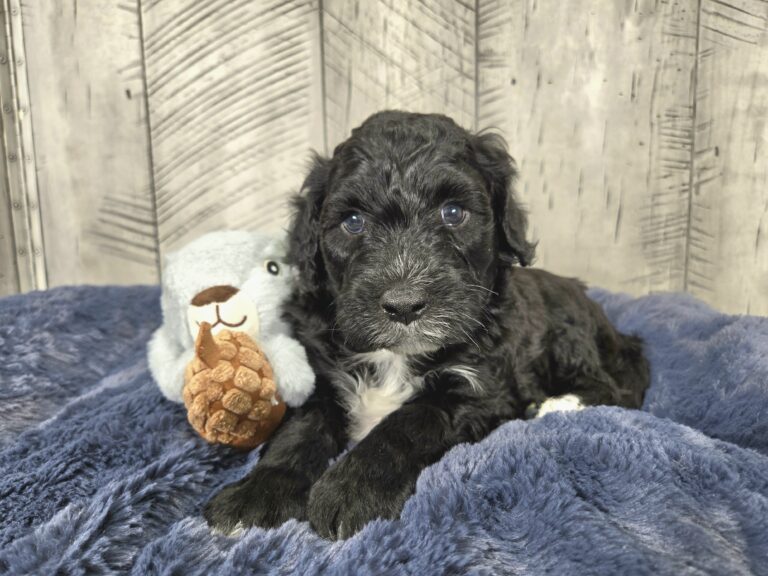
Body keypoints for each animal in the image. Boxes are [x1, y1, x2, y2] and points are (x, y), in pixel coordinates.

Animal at [204, 111, 650, 539]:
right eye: (352, 221)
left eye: (453, 213)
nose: (404, 305)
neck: (394, 355)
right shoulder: (319, 373)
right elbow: (299, 428)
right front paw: (258, 493)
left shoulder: (479, 388)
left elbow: (408, 422)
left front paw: (352, 489)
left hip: (570, 333)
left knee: (615, 385)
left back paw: (557, 404)